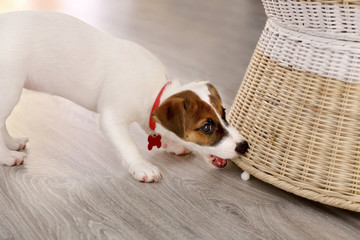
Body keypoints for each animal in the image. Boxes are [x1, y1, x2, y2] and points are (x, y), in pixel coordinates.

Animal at [0, 11, 248, 182]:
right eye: (206, 127)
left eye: (224, 114)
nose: (244, 146)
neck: (154, 92)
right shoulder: (112, 119)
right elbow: (129, 145)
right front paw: (141, 166)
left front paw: (172, 144)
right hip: (9, 88)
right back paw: (7, 156)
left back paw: (12, 143)